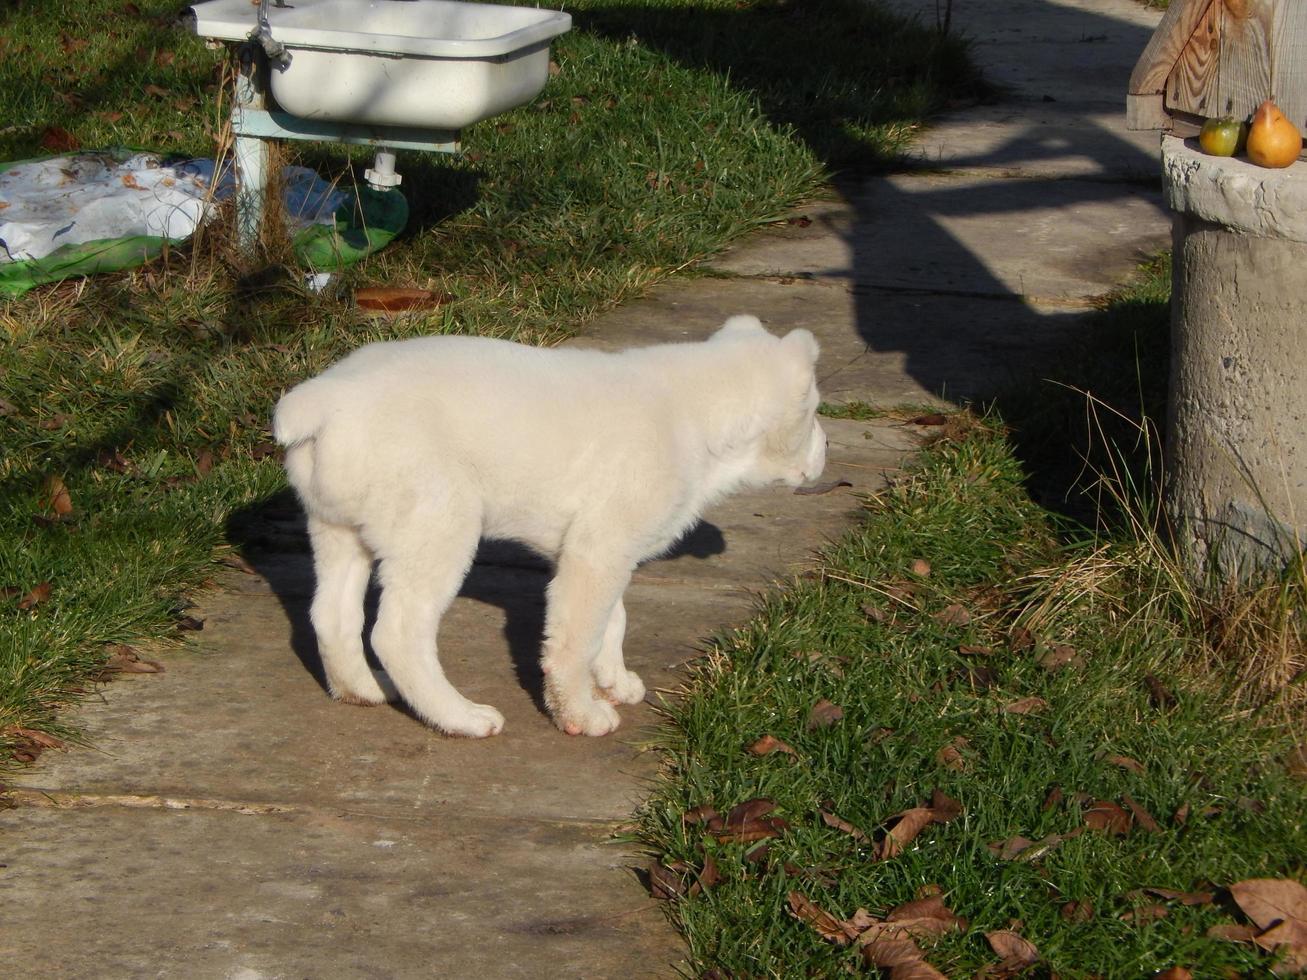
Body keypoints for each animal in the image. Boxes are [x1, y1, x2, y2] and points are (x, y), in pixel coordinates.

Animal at [273, 318, 826, 742]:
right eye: (816, 410)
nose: (828, 450)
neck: (694, 409)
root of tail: (324, 398)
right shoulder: (597, 554)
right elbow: (574, 643)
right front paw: (581, 713)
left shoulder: (593, 552)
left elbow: (612, 621)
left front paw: (612, 680)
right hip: (438, 529)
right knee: (398, 635)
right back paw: (460, 717)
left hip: (338, 531)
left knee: (331, 616)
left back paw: (362, 691)